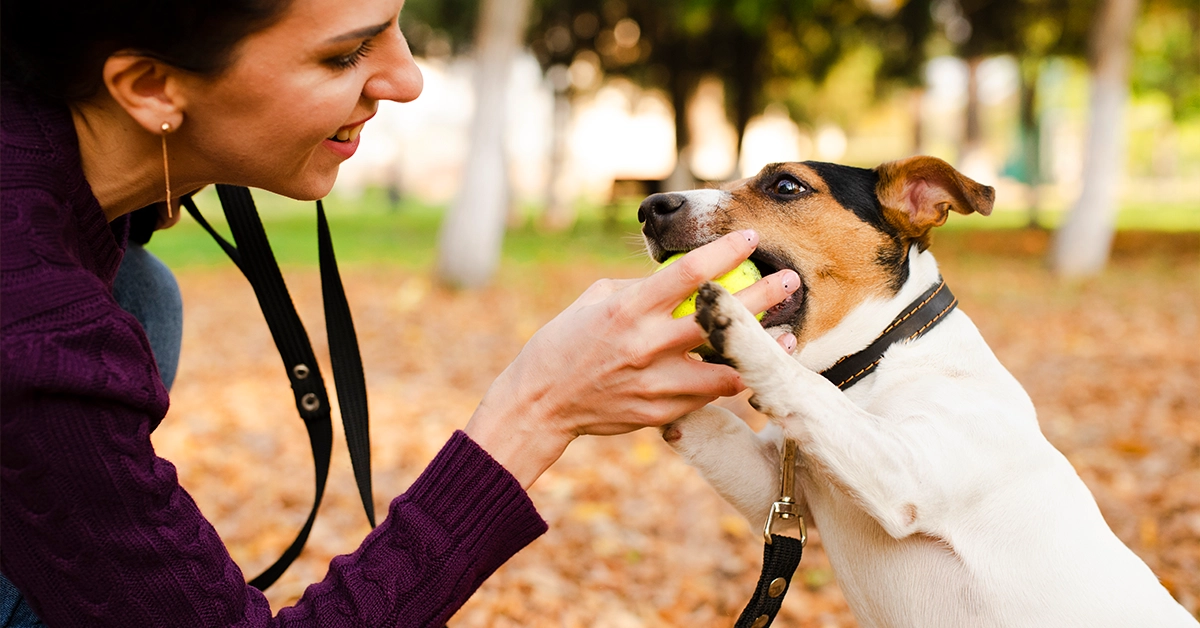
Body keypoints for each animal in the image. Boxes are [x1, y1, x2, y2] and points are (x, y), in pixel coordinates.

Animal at [643, 154, 1195, 624]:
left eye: (786, 186)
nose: (649, 208)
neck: (877, 359)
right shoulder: (770, 484)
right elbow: (715, 423)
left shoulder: (902, 472)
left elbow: (803, 388)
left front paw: (739, 325)